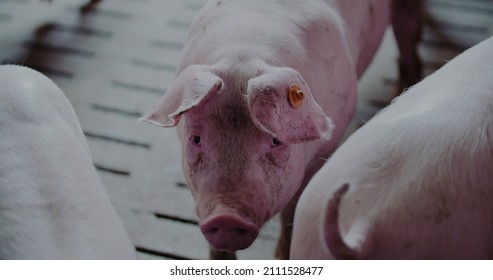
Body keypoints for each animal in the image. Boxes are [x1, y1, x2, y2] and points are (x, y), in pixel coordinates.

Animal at [140, 0, 420, 260]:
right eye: (196, 138)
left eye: (275, 140)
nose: (226, 216)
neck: (244, 57)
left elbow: (292, 214)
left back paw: (398, 95)